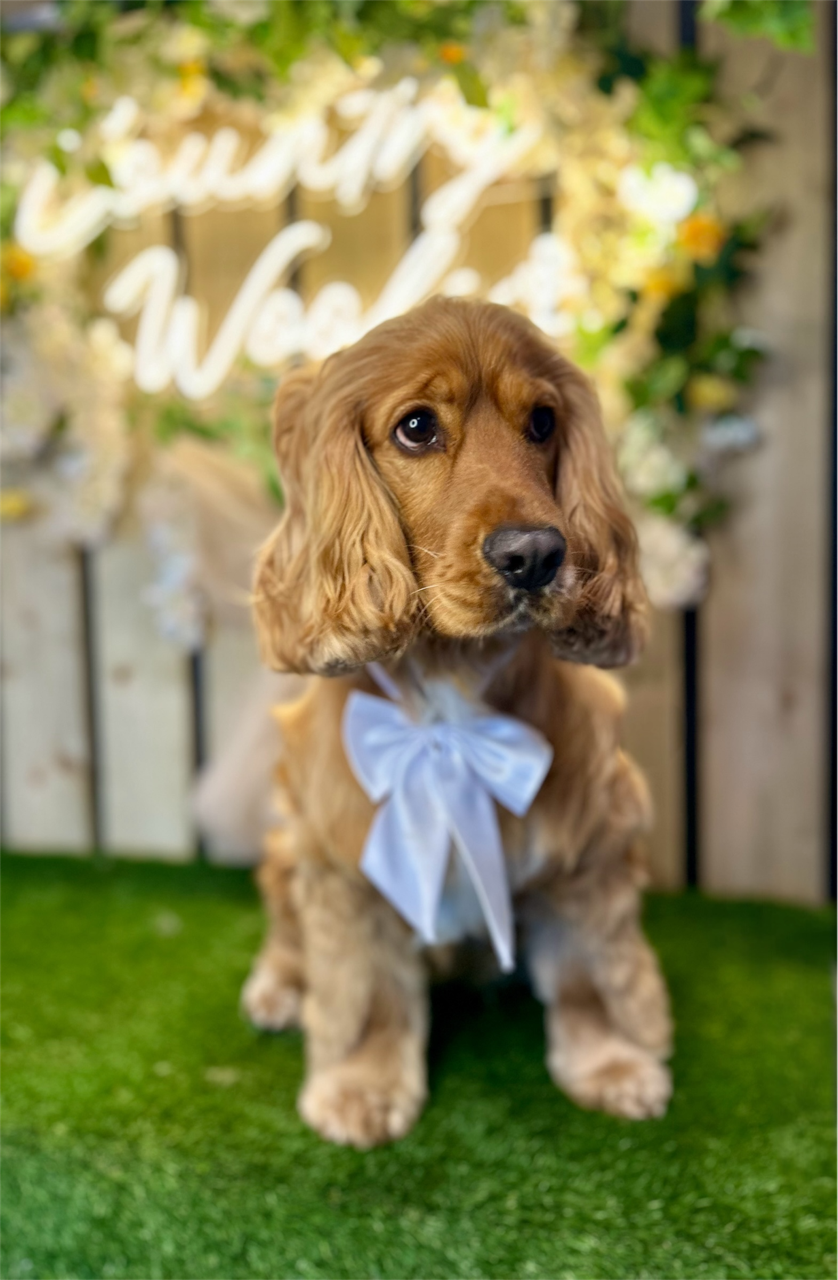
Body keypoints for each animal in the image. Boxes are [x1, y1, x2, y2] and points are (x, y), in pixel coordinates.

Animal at [242, 296, 673, 1148]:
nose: (536, 553)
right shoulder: (345, 865)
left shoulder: (591, 851)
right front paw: (362, 1087)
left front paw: (613, 1063)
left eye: (542, 421)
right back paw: (277, 986)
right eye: (416, 427)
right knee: (285, 926)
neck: (450, 697)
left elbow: (594, 971)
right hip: (285, 846)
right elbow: (367, 988)